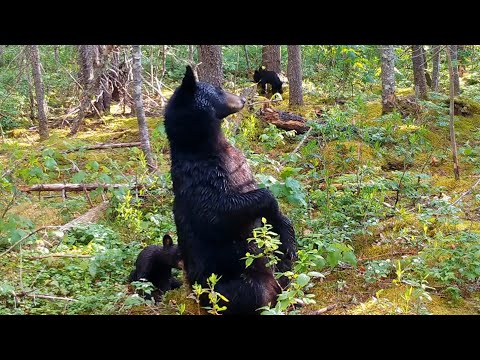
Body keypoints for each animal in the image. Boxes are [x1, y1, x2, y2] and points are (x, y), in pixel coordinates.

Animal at [164, 66, 296, 314]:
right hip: (225, 284)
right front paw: (271, 205)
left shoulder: (238, 162)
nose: (243, 99)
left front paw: (287, 235)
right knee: (253, 291)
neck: (205, 146)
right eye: (219, 89)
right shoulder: (201, 179)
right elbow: (218, 212)